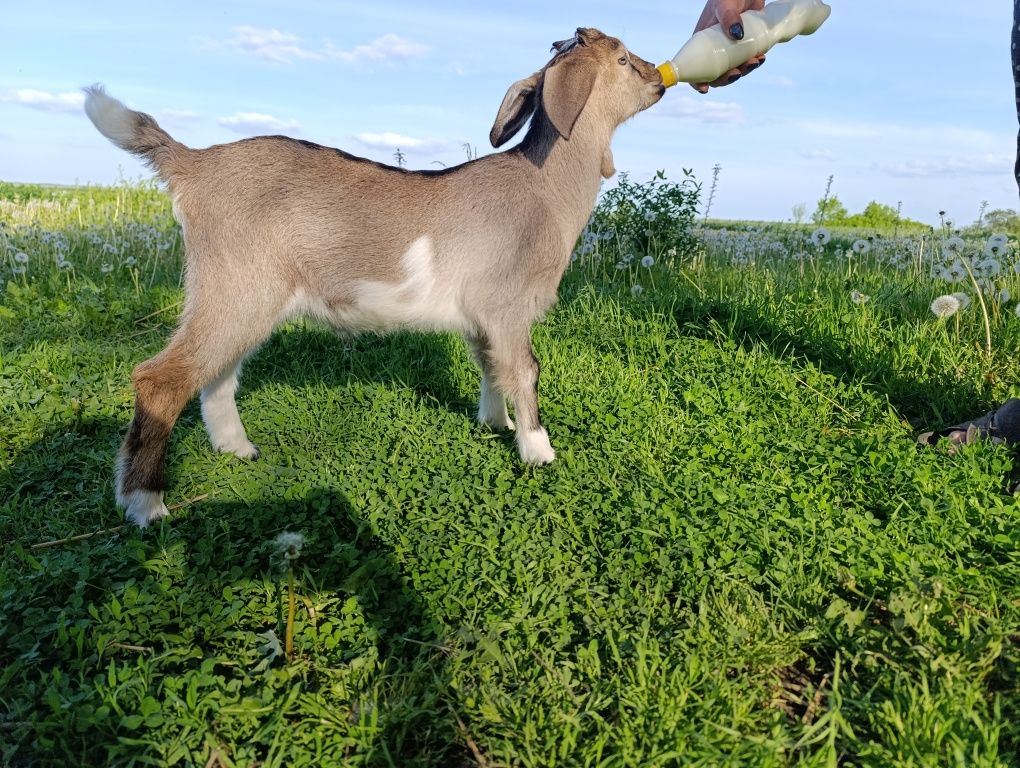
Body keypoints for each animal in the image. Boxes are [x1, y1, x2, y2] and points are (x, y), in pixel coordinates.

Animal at [83, 27, 665, 526]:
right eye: (621, 58)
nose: (659, 79)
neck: (542, 188)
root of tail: (192, 164)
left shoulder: (483, 316)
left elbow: (491, 365)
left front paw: (494, 424)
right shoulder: (507, 304)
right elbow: (525, 370)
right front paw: (539, 451)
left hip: (241, 296)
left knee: (217, 373)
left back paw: (238, 449)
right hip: (236, 286)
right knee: (161, 379)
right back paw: (146, 505)